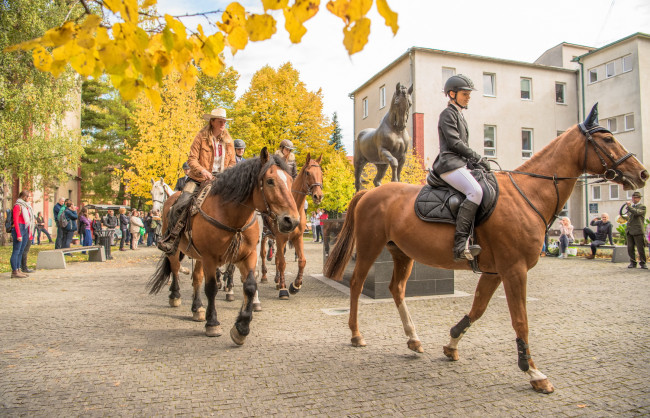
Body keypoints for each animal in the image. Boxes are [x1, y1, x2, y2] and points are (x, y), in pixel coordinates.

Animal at [147, 149, 298, 344]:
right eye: (270, 181)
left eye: (290, 181)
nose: (291, 220)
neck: (231, 215)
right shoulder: (210, 258)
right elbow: (211, 288)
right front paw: (213, 323)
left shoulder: (249, 254)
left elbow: (250, 284)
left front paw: (242, 327)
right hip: (176, 249)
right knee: (175, 268)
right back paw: (175, 296)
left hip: (198, 256)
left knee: (196, 278)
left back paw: (197, 307)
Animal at [258, 153, 324, 298]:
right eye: (307, 172)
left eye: (321, 172)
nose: (318, 196)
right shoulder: (281, 237)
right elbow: (282, 262)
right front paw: (283, 289)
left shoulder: (297, 237)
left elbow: (302, 261)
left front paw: (295, 285)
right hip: (265, 235)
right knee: (264, 254)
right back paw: (265, 276)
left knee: (277, 256)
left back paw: (277, 280)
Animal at [322, 106, 644, 394]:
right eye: (608, 139)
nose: (642, 174)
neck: (527, 195)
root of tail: (369, 192)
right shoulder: (514, 270)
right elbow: (521, 321)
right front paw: (534, 373)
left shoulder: (494, 272)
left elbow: (477, 309)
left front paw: (451, 344)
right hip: (370, 247)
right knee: (356, 283)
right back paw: (356, 335)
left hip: (402, 253)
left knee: (397, 289)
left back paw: (413, 339)